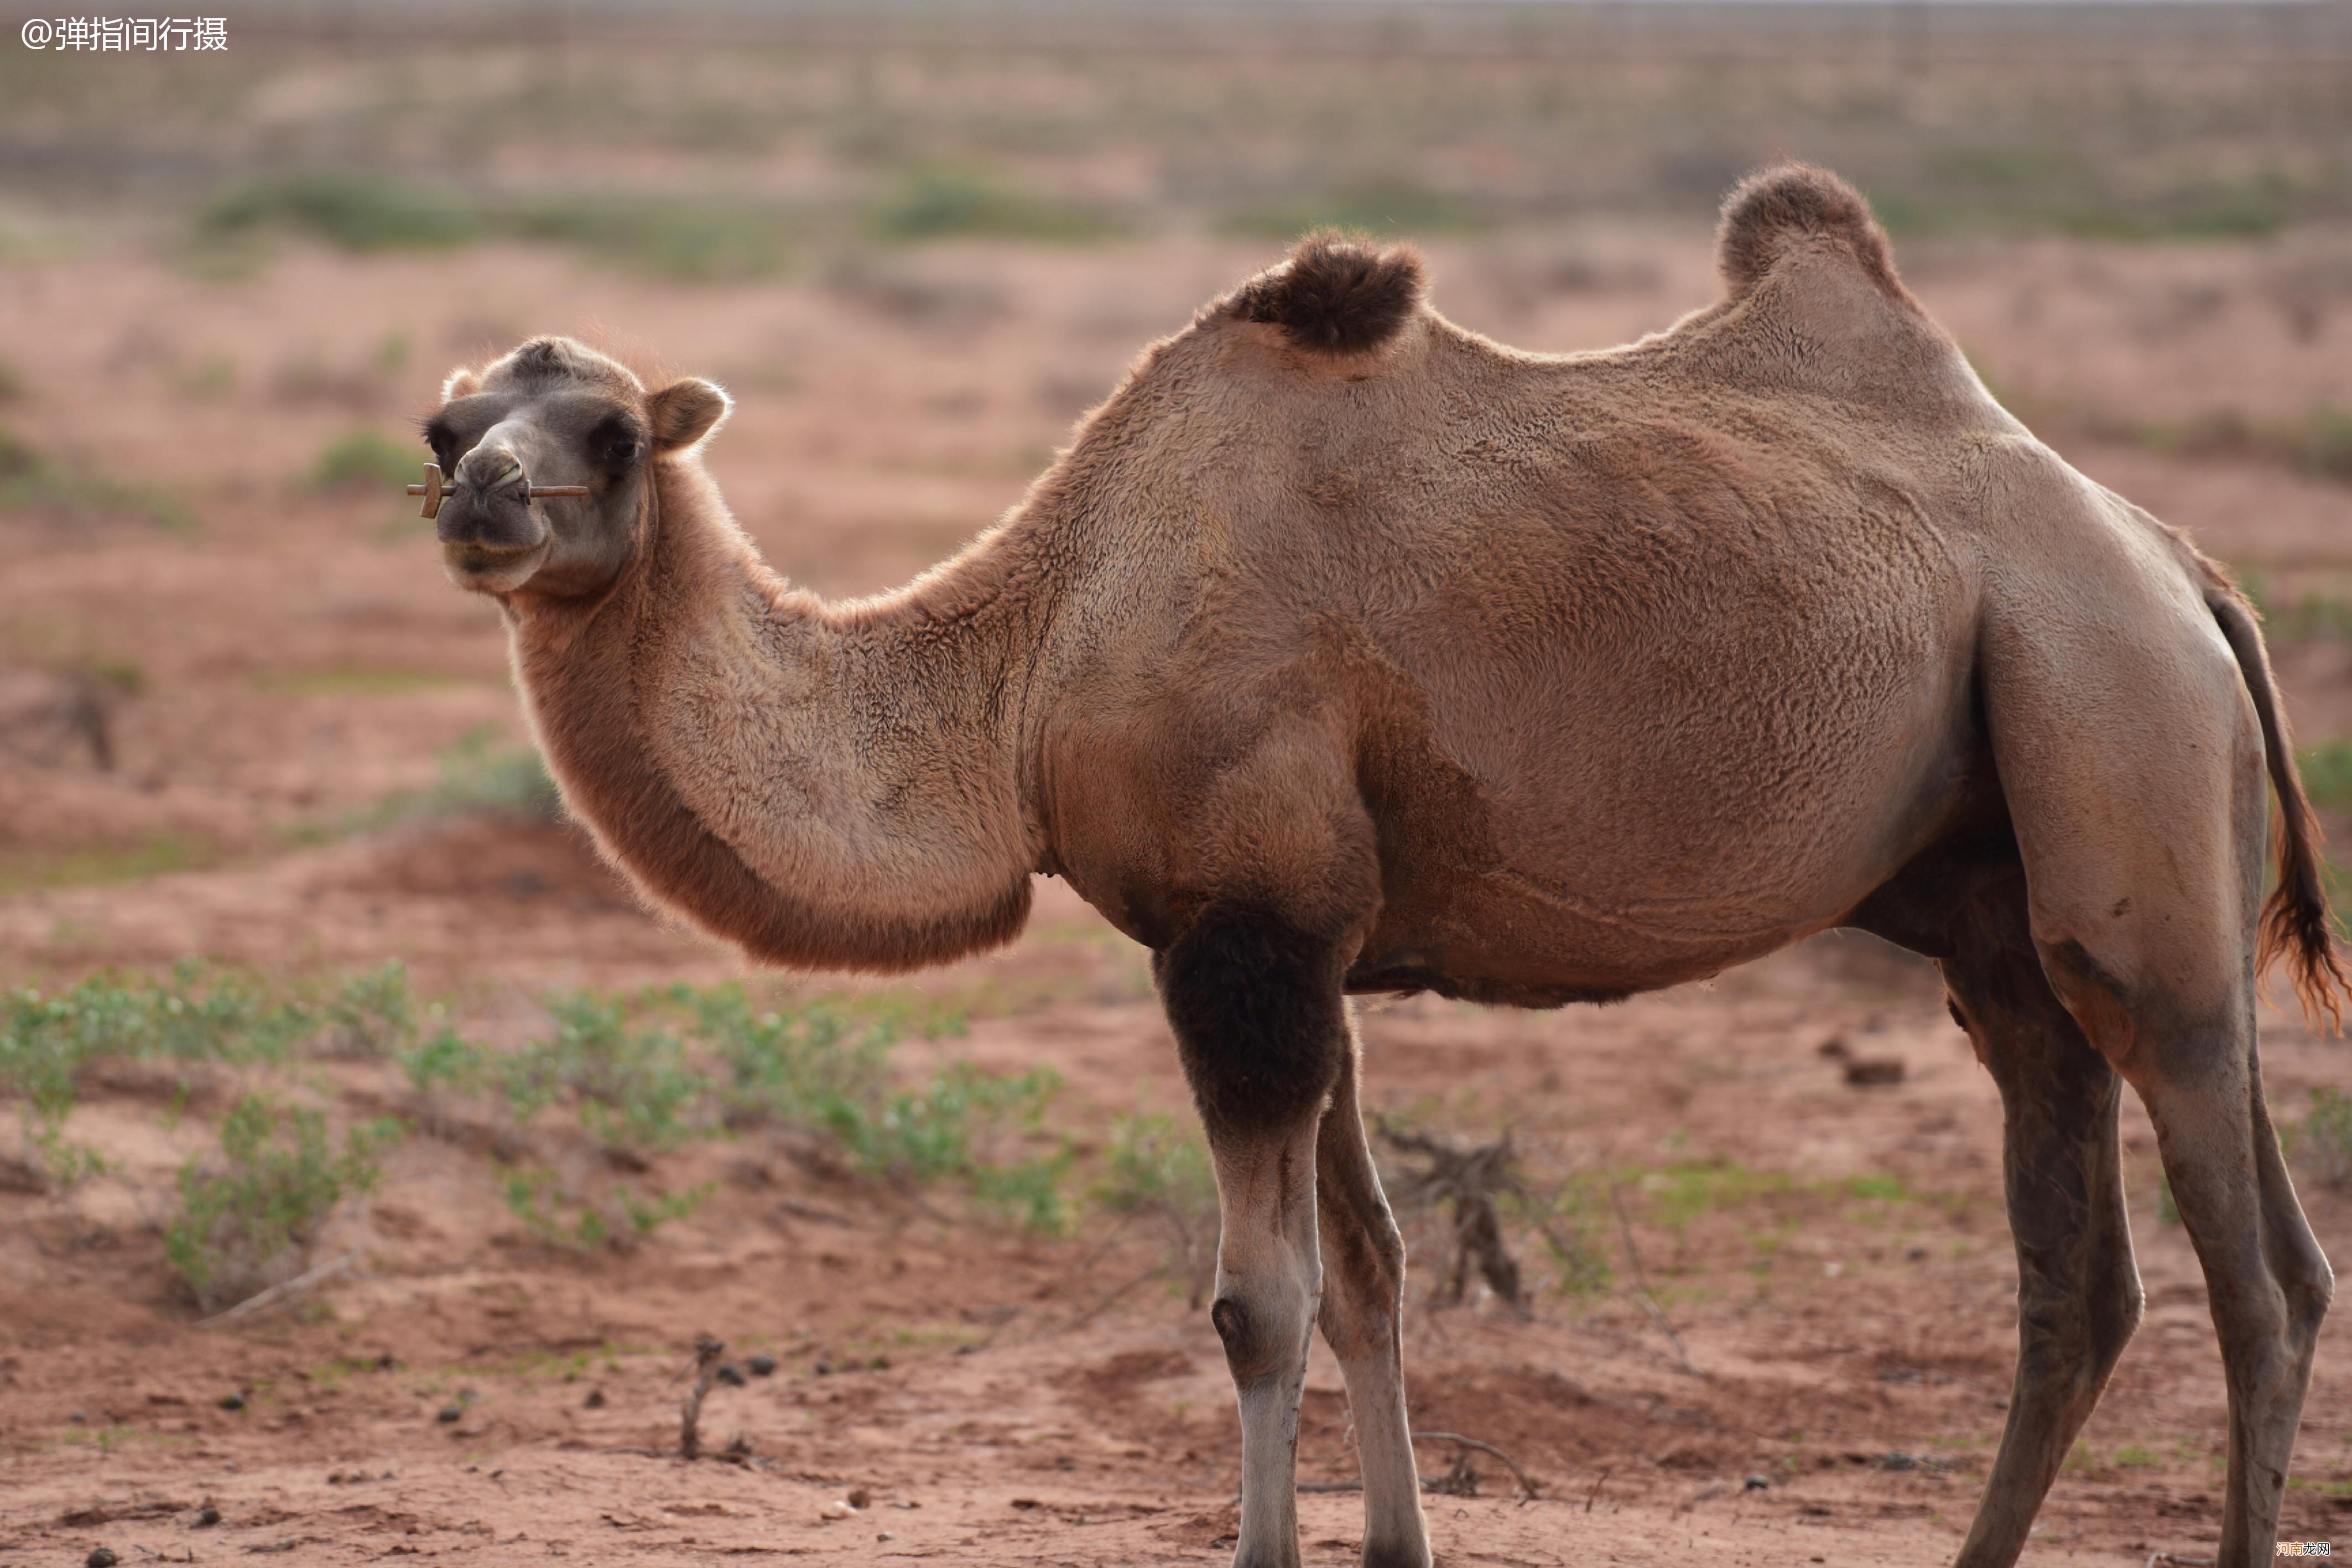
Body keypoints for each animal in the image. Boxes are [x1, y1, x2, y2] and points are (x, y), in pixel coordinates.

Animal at [428, 165, 2352, 1561]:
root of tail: (2184, 569)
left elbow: (1258, 1301)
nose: (479, 504)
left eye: (610, 431)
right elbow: (1369, 1278)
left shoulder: (1245, 934)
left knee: (2253, 1269)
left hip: (2117, 758)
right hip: (2006, 902)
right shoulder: (1307, 938)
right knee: (2082, 1268)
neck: (1031, 657)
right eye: (453, 427)